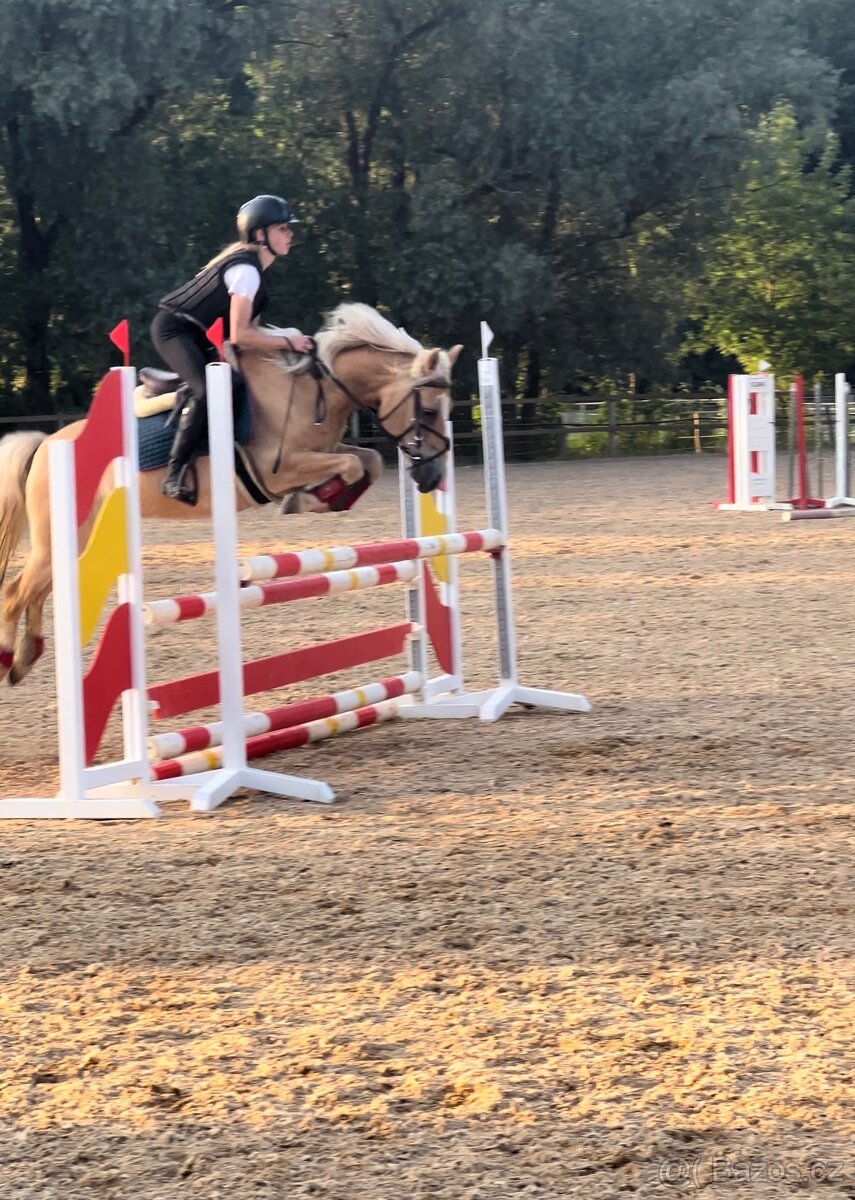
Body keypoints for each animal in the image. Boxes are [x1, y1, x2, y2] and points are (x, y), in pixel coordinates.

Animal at [0, 302, 462, 686]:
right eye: (426, 410)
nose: (432, 475)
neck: (315, 390)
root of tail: (47, 444)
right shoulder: (277, 469)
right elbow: (351, 465)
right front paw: (308, 498)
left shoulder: (324, 451)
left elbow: (369, 461)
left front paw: (323, 497)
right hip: (61, 538)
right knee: (15, 593)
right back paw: (10, 659)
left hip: (75, 542)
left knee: (35, 591)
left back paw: (26, 657)